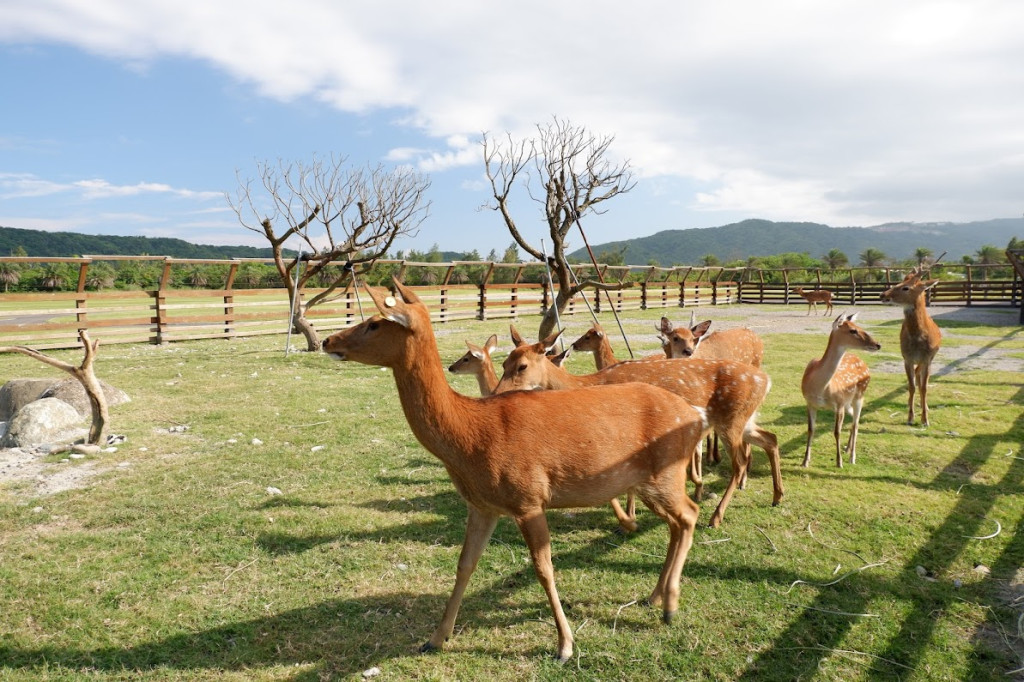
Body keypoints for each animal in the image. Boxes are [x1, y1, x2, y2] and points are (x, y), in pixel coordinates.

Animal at [323, 276, 708, 659]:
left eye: (375, 323)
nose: (328, 340)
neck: (470, 437)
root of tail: (695, 416)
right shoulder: (482, 505)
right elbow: (465, 564)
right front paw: (436, 638)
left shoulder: (529, 498)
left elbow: (544, 568)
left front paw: (565, 644)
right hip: (648, 482)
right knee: (677, 522)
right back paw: (655, 596)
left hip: (666, 473)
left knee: (690, 513)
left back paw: (670, 605)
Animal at [491, 327, 778, 528]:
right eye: (503, 363)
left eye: (522, 366)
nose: (494, 394)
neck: (588, 383)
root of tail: (766, 380)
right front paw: (629, 516)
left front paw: (628, 518)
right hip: (743, 419)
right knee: (770, 438)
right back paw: (777, 496)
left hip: (732, 420)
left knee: (739, 462)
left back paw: (717, 516)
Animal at [798, 313, 880, 466]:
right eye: (853, 330)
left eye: (859, 326)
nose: (878, 344)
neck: (820, 387)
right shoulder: (809, 403)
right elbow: (811, 430)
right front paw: (805, 461)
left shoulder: (840, 403)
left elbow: (837, 432)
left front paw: (839, 462)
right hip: (849, 402)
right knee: (853, 419)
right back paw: (847, 448)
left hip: (860, 394)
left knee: (856, 423)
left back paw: (852, 457)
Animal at [880, 270, 942, 425]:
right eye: (898, 282)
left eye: (905, 287)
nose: (882, 295)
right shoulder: (907, 358)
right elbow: (911, 386)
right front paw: (910, 417)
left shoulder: (927, 359)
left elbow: (924, 387)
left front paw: (925, 419)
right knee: (916, 378)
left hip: (931, 358)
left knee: (920, 379)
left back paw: (925, 407)